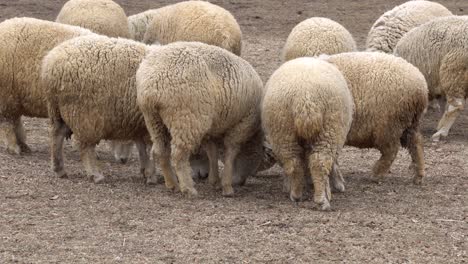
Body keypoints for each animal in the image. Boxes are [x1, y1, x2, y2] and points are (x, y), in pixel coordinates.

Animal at [0, 17, 94, 155]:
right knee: (7, 122)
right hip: (5, 95)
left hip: (14, 98)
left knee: (15, 121)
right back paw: (14, 147)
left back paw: (23, 145)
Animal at [41, 34, 154, 184]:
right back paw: (95, 174)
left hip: (59, 111)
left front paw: (146, 172)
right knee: (85, 146)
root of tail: (50, 64)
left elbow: (142, 149)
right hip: (84, 115)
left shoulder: (139, 124)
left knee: (56, 134)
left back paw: (59, 169)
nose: (123, 160)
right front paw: (152, 175)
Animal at [137, 41, 266, 197]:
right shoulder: (242, 124)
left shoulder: (211, 127)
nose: (242, 181)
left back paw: (172, 184)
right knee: (178, 155)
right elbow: (231, 152)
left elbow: (212, 151)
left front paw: (215, 181)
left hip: (153, 119)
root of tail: (153, 84)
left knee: (160, 151)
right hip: (187, 118)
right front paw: (227, 186)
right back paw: (188, 188)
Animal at [262, 57, 352, 210]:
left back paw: (298, 194)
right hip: (330, 130)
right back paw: (320, 199)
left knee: (294, 163)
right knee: (319, 162)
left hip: (284, 132)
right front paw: (336, 185)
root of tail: (305, 98)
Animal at [322, 52, 428, 186]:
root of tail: (421, 88)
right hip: (410, 123)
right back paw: (418, 175)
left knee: (391, 150)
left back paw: (376, 174)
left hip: (388, 125)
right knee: (416, 143)